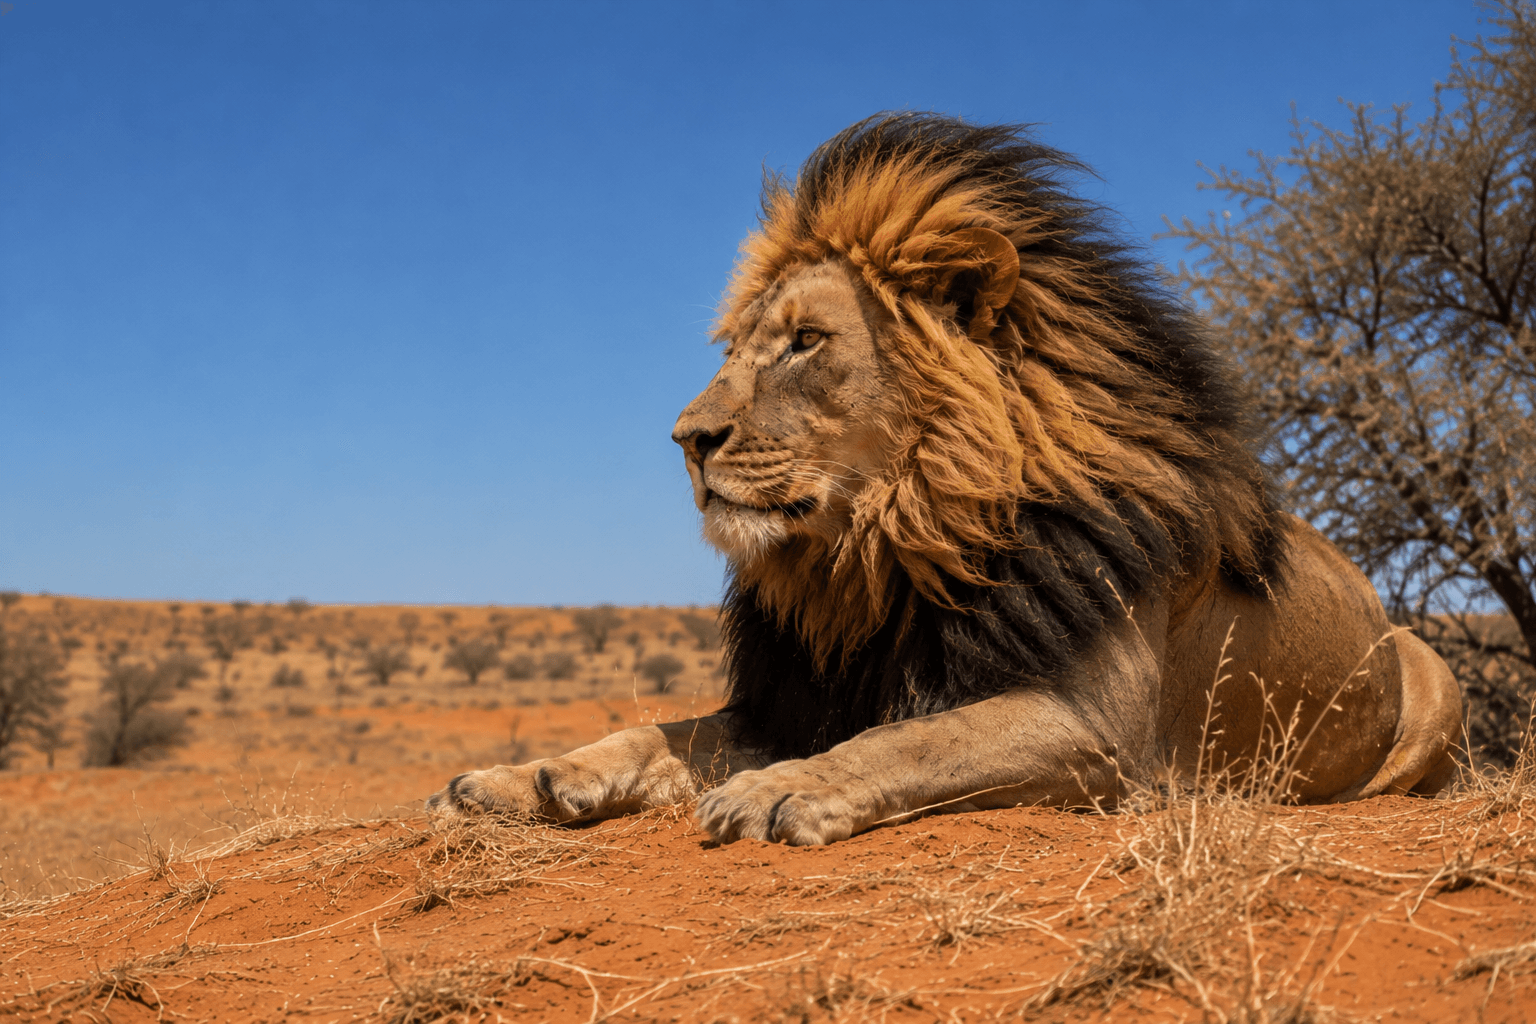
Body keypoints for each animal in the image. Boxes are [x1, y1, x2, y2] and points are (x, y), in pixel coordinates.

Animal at [428, 113, 1462, 845]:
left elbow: (912, 738)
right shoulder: (798, 696)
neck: (883, 553)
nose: (688, 438)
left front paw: (783, 788)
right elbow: (663, 732)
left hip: (1435, 676)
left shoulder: (1097, 729)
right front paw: (522, 778)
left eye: (806, 342)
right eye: (736, 350)